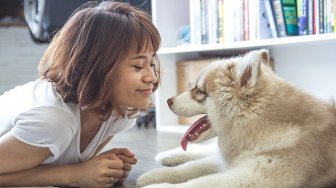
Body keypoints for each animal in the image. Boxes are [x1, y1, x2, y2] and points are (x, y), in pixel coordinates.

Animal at [135, 49, 336, 187]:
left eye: (199, 92)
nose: (168, 101)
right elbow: (191, 167)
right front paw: (153, 175)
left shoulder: (253, 176)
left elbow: (200, 182)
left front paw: (157, 185)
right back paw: (167, 156)